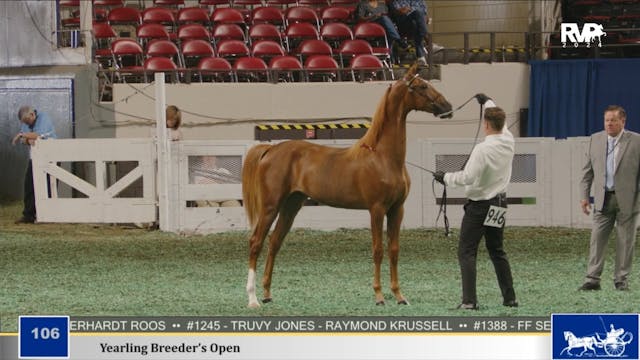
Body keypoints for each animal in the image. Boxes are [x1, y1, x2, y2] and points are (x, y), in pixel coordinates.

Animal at [242, 64, 452, 306]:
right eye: (421, 86)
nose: (448, 107)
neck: (383, 157)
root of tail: (270, 149)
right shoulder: (376, 209)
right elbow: (378, 250)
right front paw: (379, 296)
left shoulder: (397, 209)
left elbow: (394, 250)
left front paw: (399, 296)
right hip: (270, 206)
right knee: (256, 242)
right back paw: (253, 299)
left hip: (290, 205)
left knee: (275, 242)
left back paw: (267, 294)